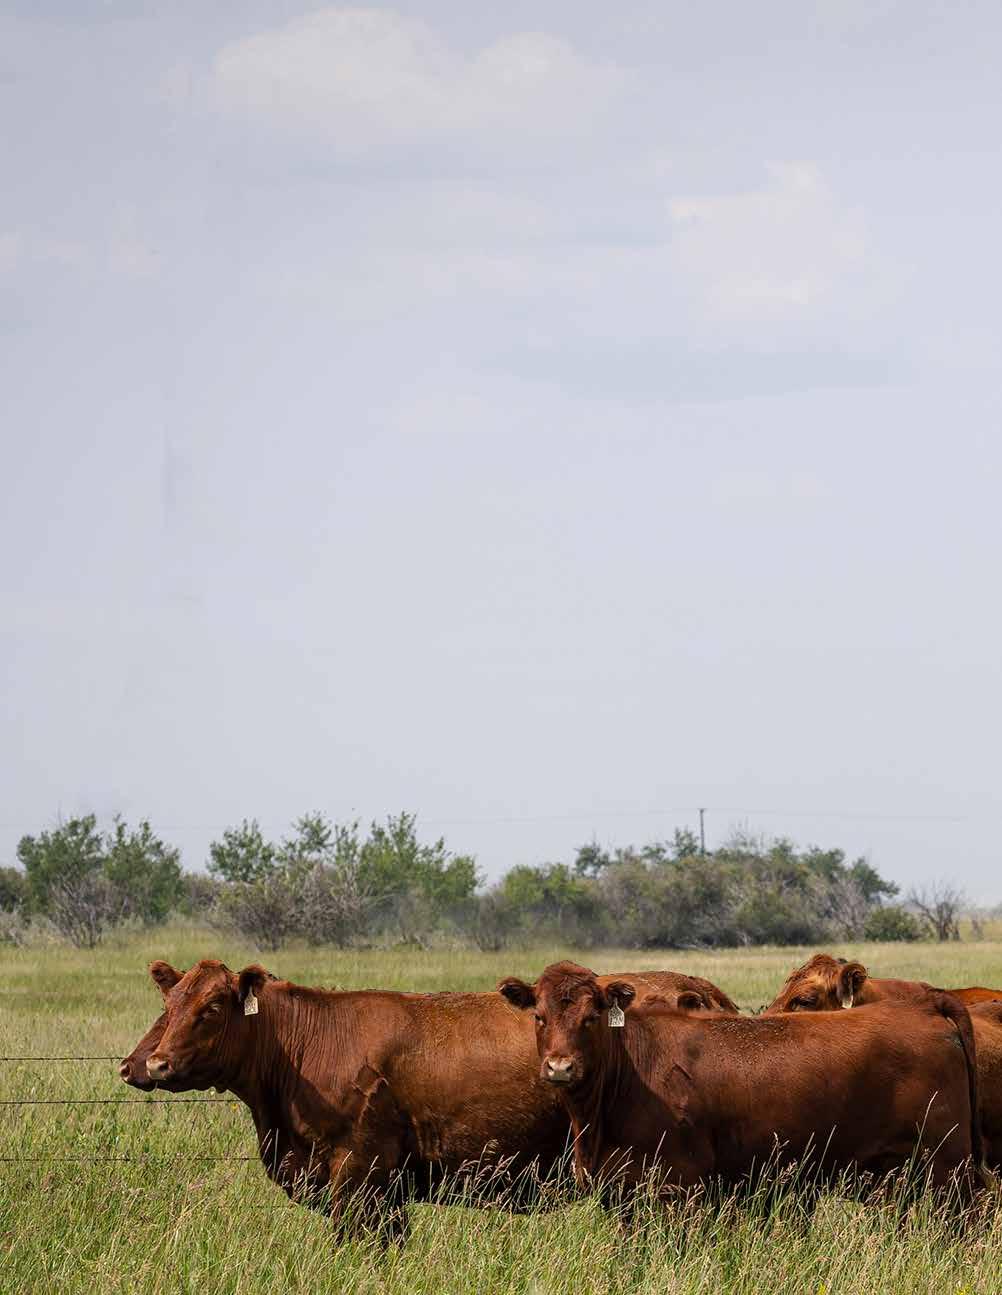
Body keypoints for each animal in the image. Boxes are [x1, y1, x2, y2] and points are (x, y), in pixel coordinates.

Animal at [121, 959, 736, 1243]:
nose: (149, 1064)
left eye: (212, 1008)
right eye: (169, 1005)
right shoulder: (388, 1190)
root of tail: (697, 986)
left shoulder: (359, 1176)